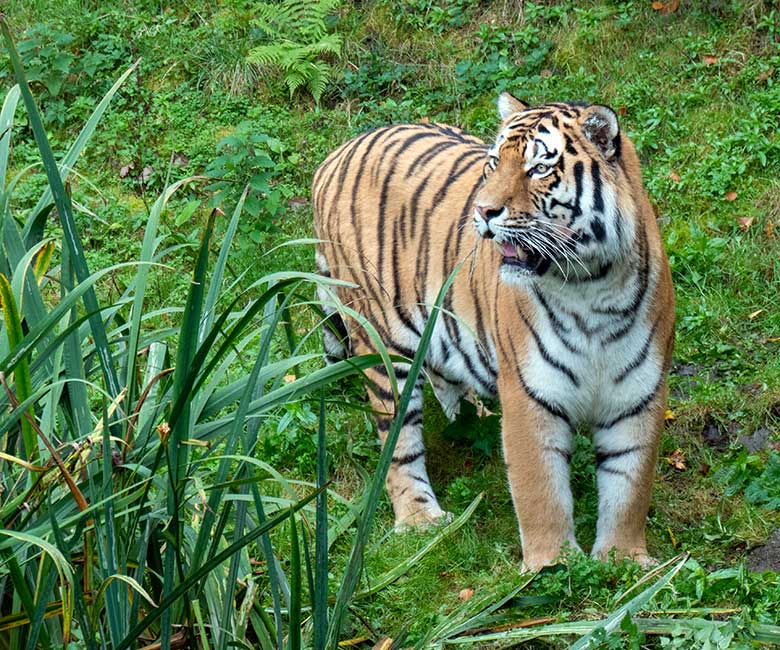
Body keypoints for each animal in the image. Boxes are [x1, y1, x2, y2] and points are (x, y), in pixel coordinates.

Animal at [310, 92, 676, 572]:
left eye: (538, 168)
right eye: (493, 164)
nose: (482, 212)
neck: (592, 289)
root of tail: (333, 157)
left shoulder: (638, 395)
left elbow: (628, 486)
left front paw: (623, 561)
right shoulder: (529, 393)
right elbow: (540, 491)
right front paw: (551, 565)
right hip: (382, 347)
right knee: (398, 442)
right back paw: (421, 519)